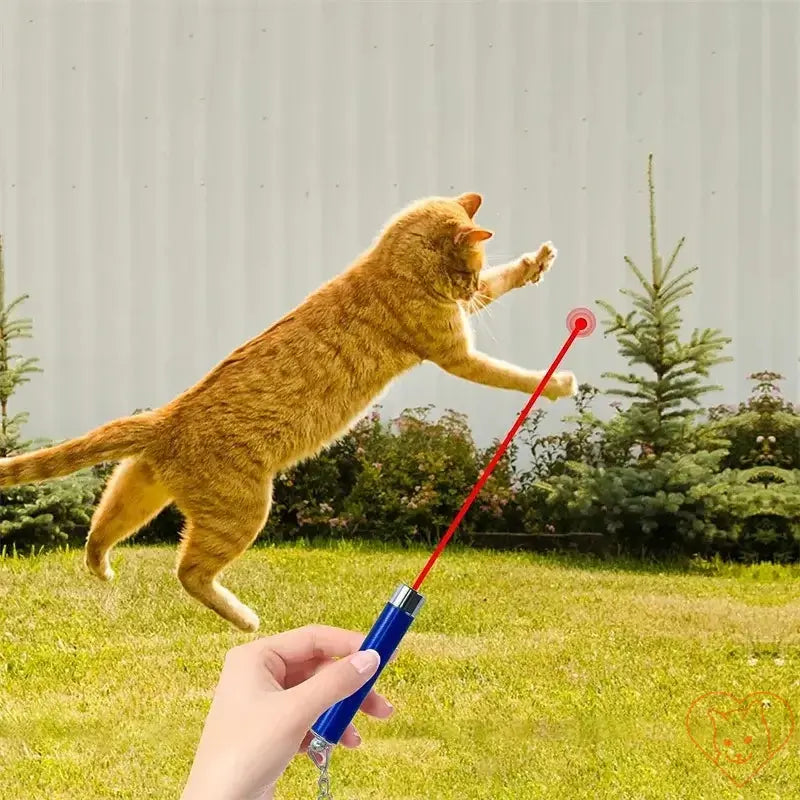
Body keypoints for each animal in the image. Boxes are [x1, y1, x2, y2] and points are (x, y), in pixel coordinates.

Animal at [0, 194, 576, 632]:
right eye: (464, 269)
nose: (469, 289)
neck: (389, 265)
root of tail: (168, 417)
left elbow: (507, 281)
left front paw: (536, 262)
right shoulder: (456, 353)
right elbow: (513, 375)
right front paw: (557, 383)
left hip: (139, 491)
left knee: (100, 527)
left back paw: (100, 568)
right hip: (244, 512)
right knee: (188, 571)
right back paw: (245, 619)